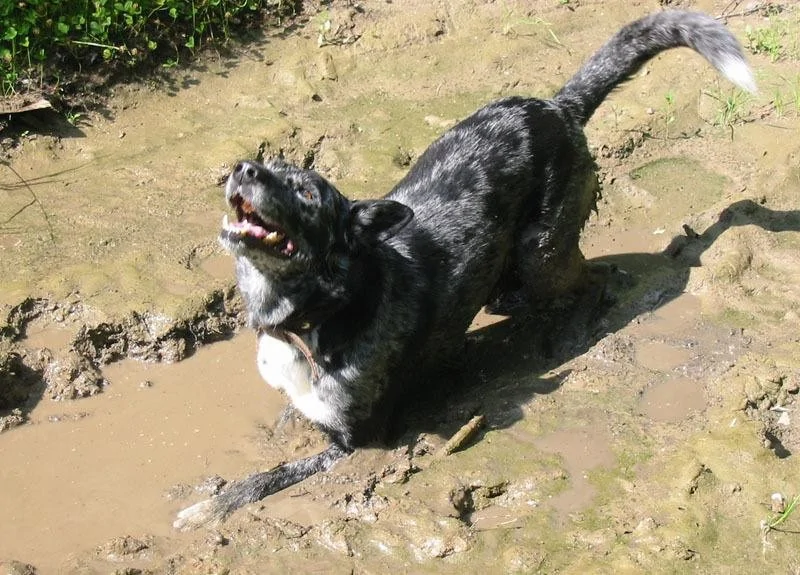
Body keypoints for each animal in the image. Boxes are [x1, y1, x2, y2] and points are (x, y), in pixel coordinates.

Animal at [172, 9, 752, 532]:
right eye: (268, 164)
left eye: (308, 194)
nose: (243, 168)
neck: (316, 315)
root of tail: (557, 107)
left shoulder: (359, 442)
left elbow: (268, 477)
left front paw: (208, 508)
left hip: (541, 252)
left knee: (593, 275)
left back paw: (571, 331)